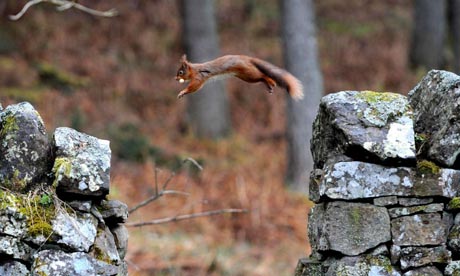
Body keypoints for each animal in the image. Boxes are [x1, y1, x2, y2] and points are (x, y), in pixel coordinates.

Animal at [174, 54, 304, 101]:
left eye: (180, 72)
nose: (175, 79)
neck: (194, 69)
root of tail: (248, 58)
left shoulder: (199, 77)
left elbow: (194, 87)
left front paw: (182, 92)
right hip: (246, 77)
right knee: (261, 78)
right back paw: (269, 85)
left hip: (249, 73)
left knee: (262, 75)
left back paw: (270, 81)